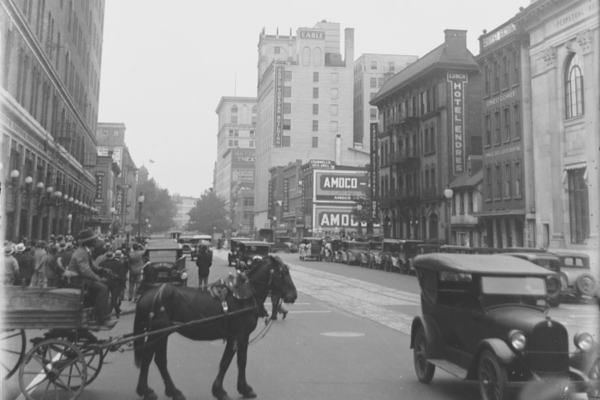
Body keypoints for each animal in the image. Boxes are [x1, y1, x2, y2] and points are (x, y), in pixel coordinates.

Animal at [132, 255, 297, 400]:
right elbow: (238, 361)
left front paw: (224, 389)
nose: (294, 295)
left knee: (156, 359)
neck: (246, 297)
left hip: (161, 333)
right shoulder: (240, 335)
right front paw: (234, 389)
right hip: (157, 332)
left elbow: (228, 361)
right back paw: (154, 391)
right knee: (151, 358)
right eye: (283, 272)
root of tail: (146, 295)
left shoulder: (233, 336)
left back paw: (162, 391)